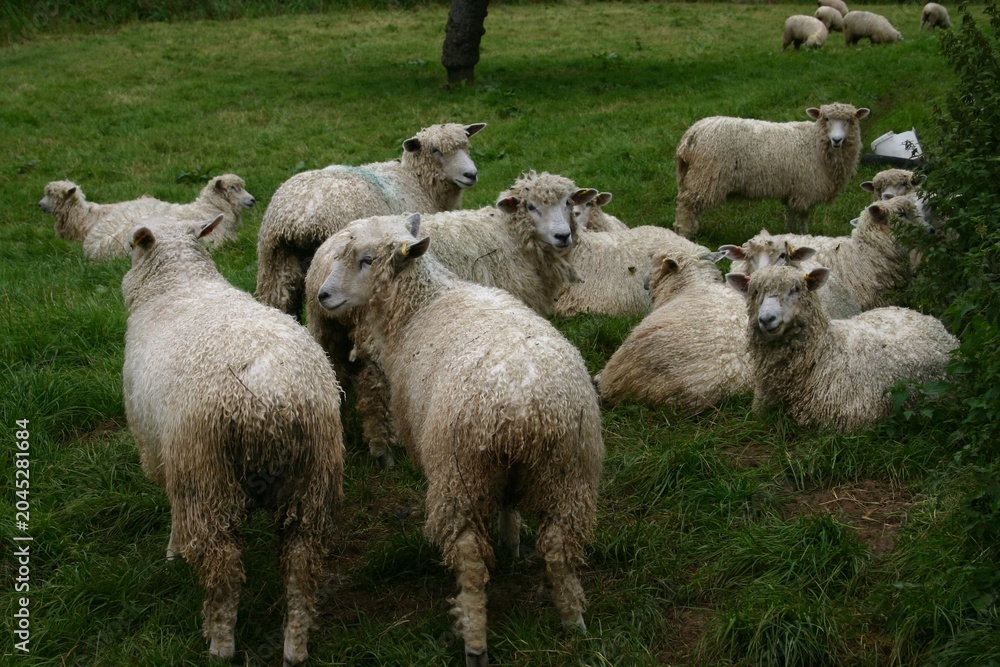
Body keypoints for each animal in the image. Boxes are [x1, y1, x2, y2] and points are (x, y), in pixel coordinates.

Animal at [121, 215, 344, 665]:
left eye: (133, 247)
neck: (178, 284)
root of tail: (271, 398)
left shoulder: (161, 452)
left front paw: (171, 551)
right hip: (312, 477)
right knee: (301, 562)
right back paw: (295, 646)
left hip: (207, 475)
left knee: (221, 565)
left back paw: (220, 645)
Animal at [255, 122, 486, 319]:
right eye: (435, 150)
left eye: (466, 145)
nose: (471, 174)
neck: (415, 180)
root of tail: (301, 217)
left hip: (274, 266)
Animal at [314, 213, 604, 667]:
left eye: (366, 260)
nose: (323, 295)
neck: (421, 306)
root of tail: (525, 407)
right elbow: (509, 504)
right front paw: (511, 543)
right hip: (568, 473)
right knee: (560, 546)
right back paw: (572, 619)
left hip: (460, 475)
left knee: (469, 562)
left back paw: (474, 639)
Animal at [674, 103, 870, 237]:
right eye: (826, 119)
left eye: (849, 120)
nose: (837, 140)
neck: (815, 142)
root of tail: (691, 135)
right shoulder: (806, 189)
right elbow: (804, 215)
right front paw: (805, 234)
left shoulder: (794, 188)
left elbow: (791, 212)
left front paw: (789, 232)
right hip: (706, 176)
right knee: (687, 203)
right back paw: (686, 233)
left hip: (689, 175)